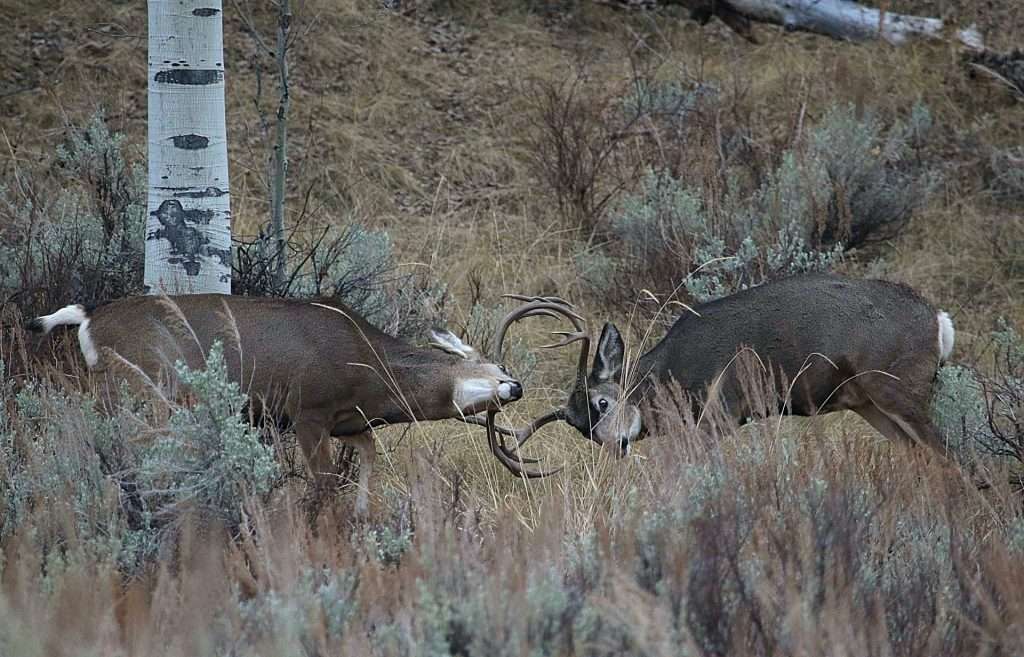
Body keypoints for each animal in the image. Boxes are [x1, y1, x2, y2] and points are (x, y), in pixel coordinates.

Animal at [26, 294, 553, 514]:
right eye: (493, 367)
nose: (516, 387)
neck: (369, 367)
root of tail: (88, 319)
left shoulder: (347, 421)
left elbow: (368, 457)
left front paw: (361, 514)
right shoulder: (307, 410)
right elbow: (323, 483)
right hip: (144, 388)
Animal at [488, 274, 957, 462]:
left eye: (603, 402)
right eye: (581, 429)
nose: (617, 444)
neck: (678, 372)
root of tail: (938, 319)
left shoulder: (722, 411)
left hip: (895, 386)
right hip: (869, 403)